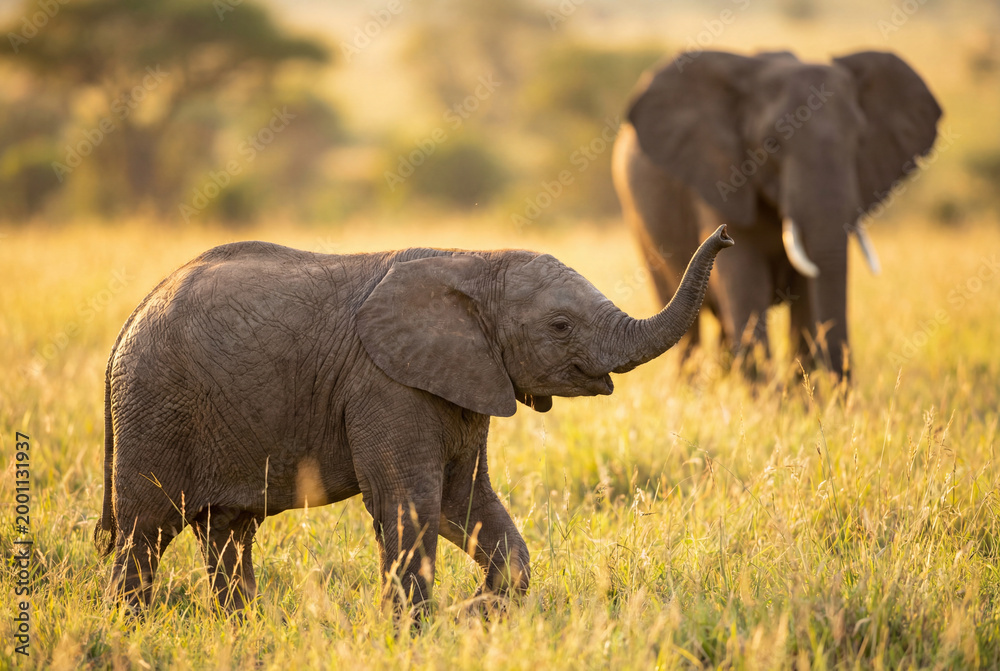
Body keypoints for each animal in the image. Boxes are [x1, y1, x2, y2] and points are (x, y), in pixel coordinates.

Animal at [94, 225, 733, 616]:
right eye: (559, 326)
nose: (726, 233)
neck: (475, 262)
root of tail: (129, 321)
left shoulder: (466, 381)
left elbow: (464, 502)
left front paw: (474, 614)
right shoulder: (387, 384)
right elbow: (410, 503)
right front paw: (416, 633)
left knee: (227, 533)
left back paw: (242, 627)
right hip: (155, 408)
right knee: (145, 530)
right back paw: (132, 625)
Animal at [612, 50, 941, 377]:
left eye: (859, 141)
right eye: (771, 144)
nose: (843, 389)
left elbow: (807, 300)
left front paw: (804, 390)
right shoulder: (720, 179)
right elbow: (746, 288)